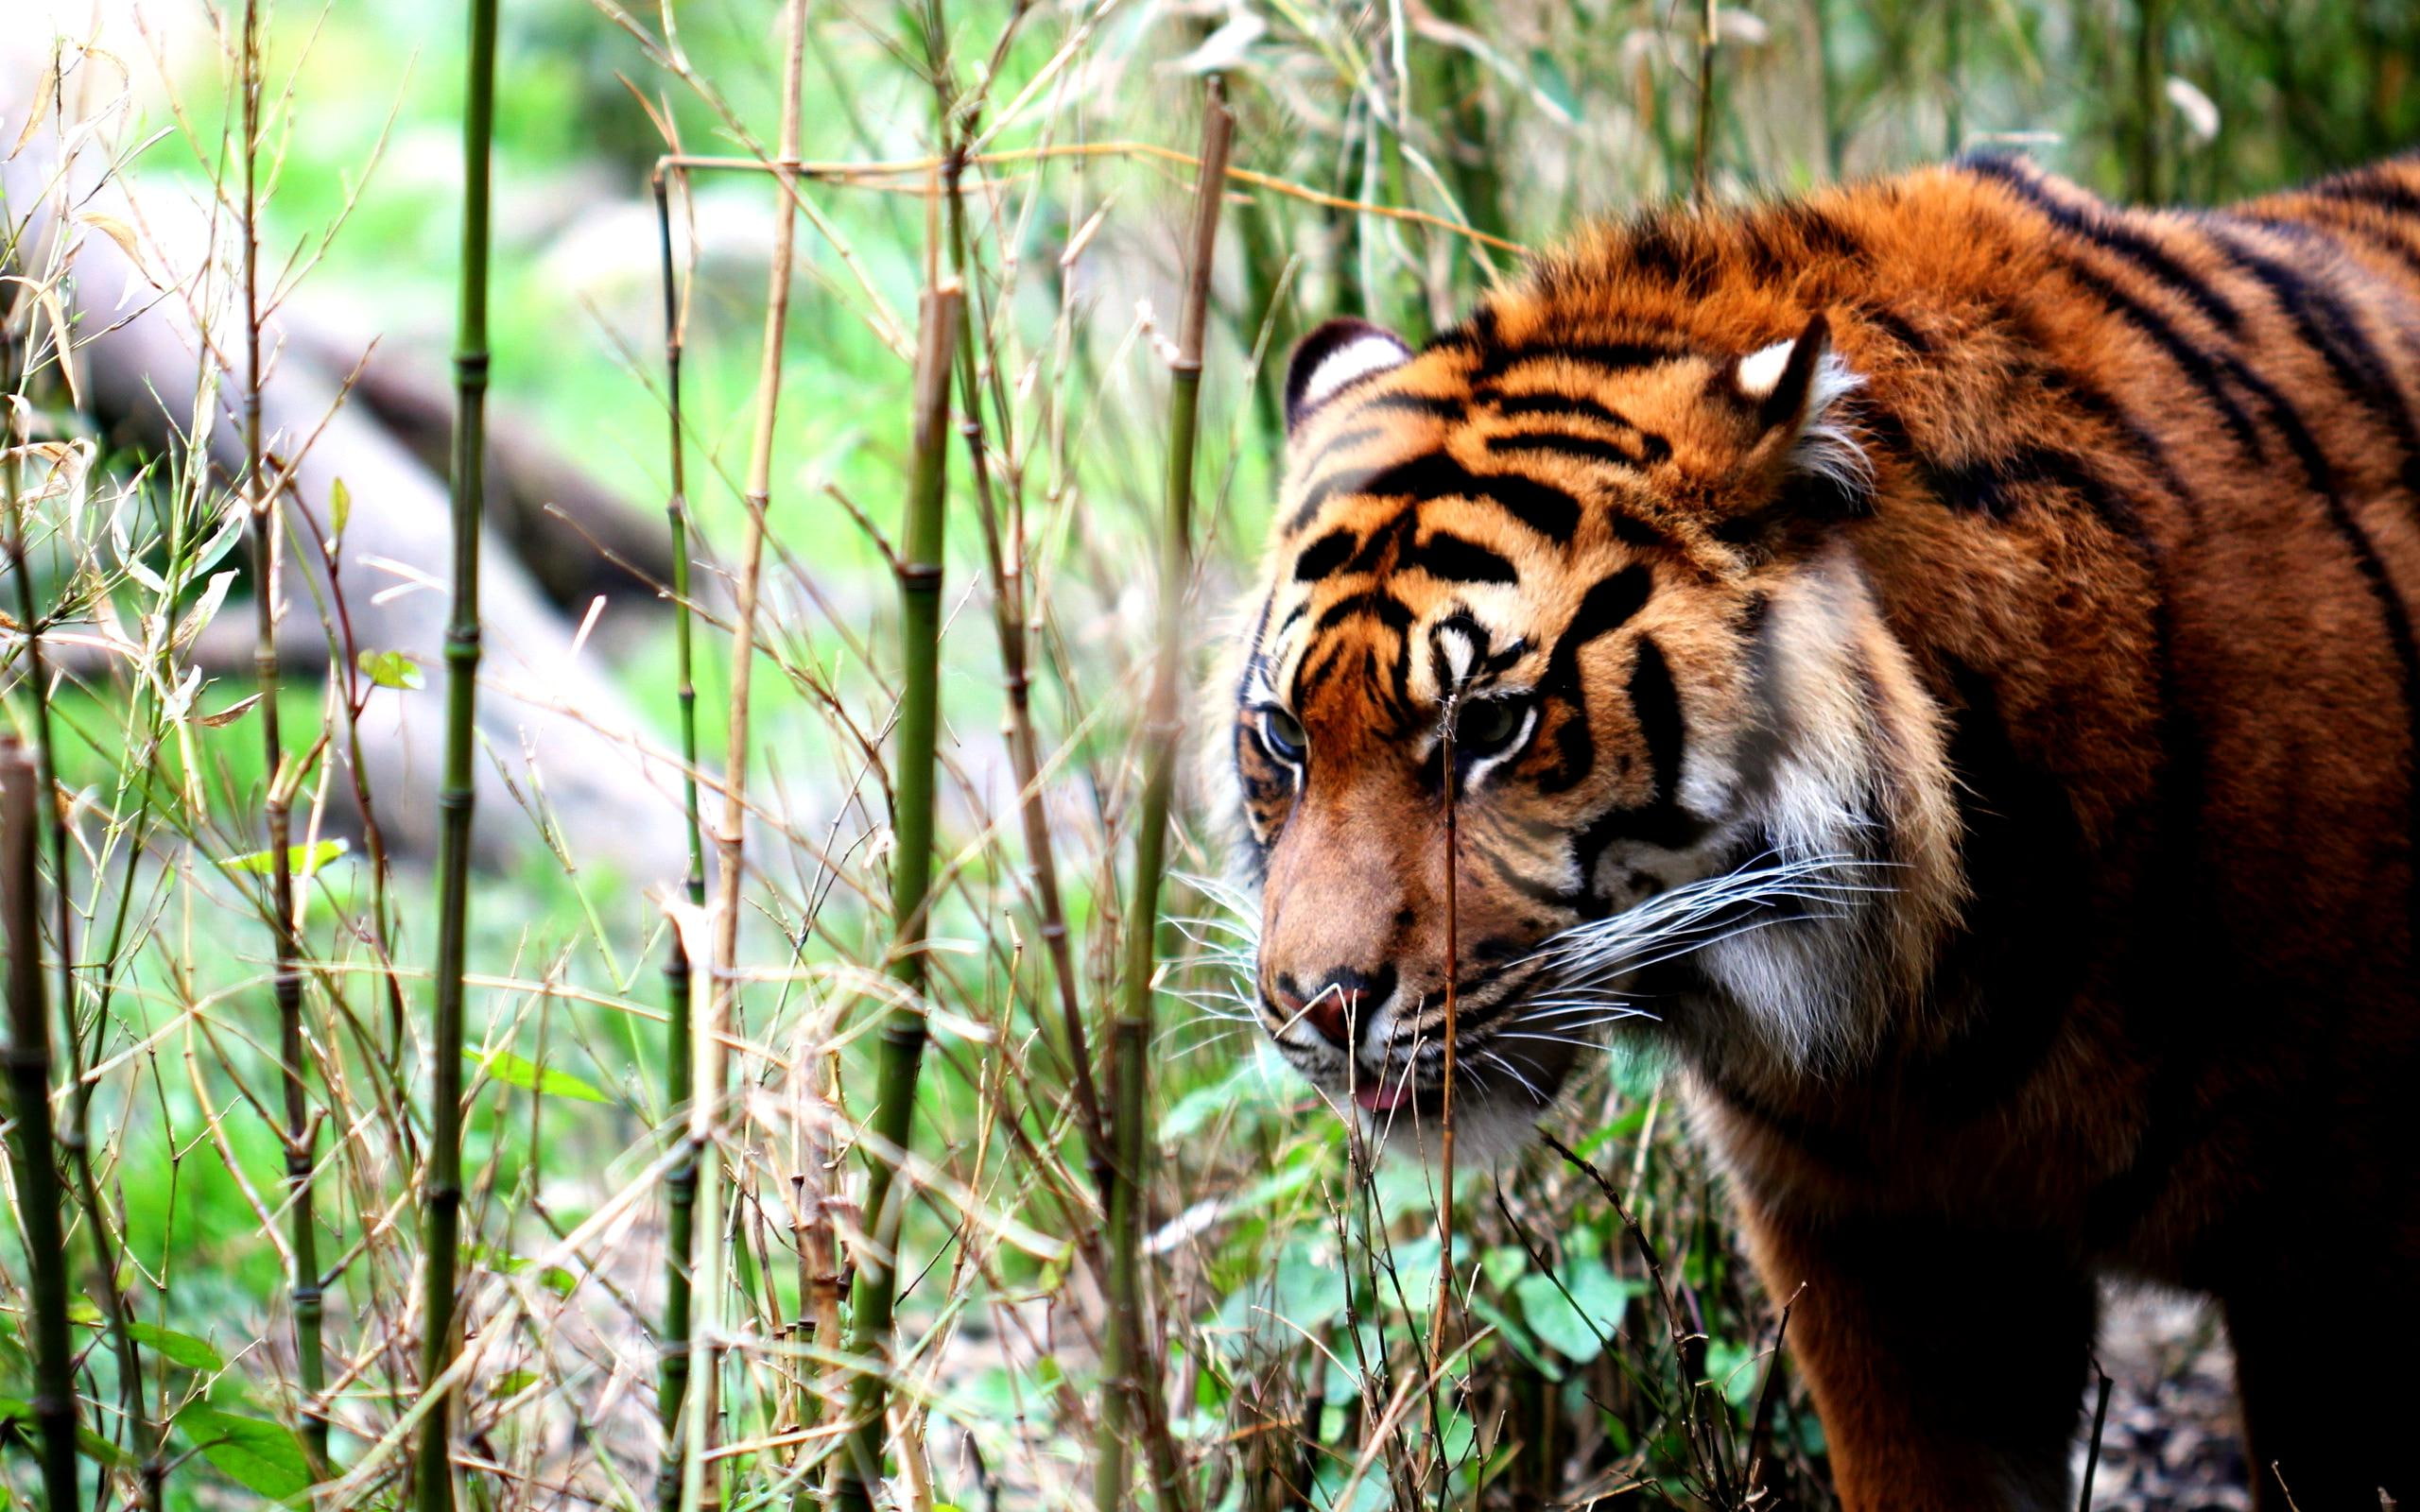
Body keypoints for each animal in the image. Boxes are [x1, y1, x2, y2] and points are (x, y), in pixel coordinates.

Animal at [1220, 152, 2420, 1511]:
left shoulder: (2340, 1259)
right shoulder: (1880, 1256)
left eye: (1489, 725)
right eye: (1283, 737)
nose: (1316, 1006)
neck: (1943, 1002)